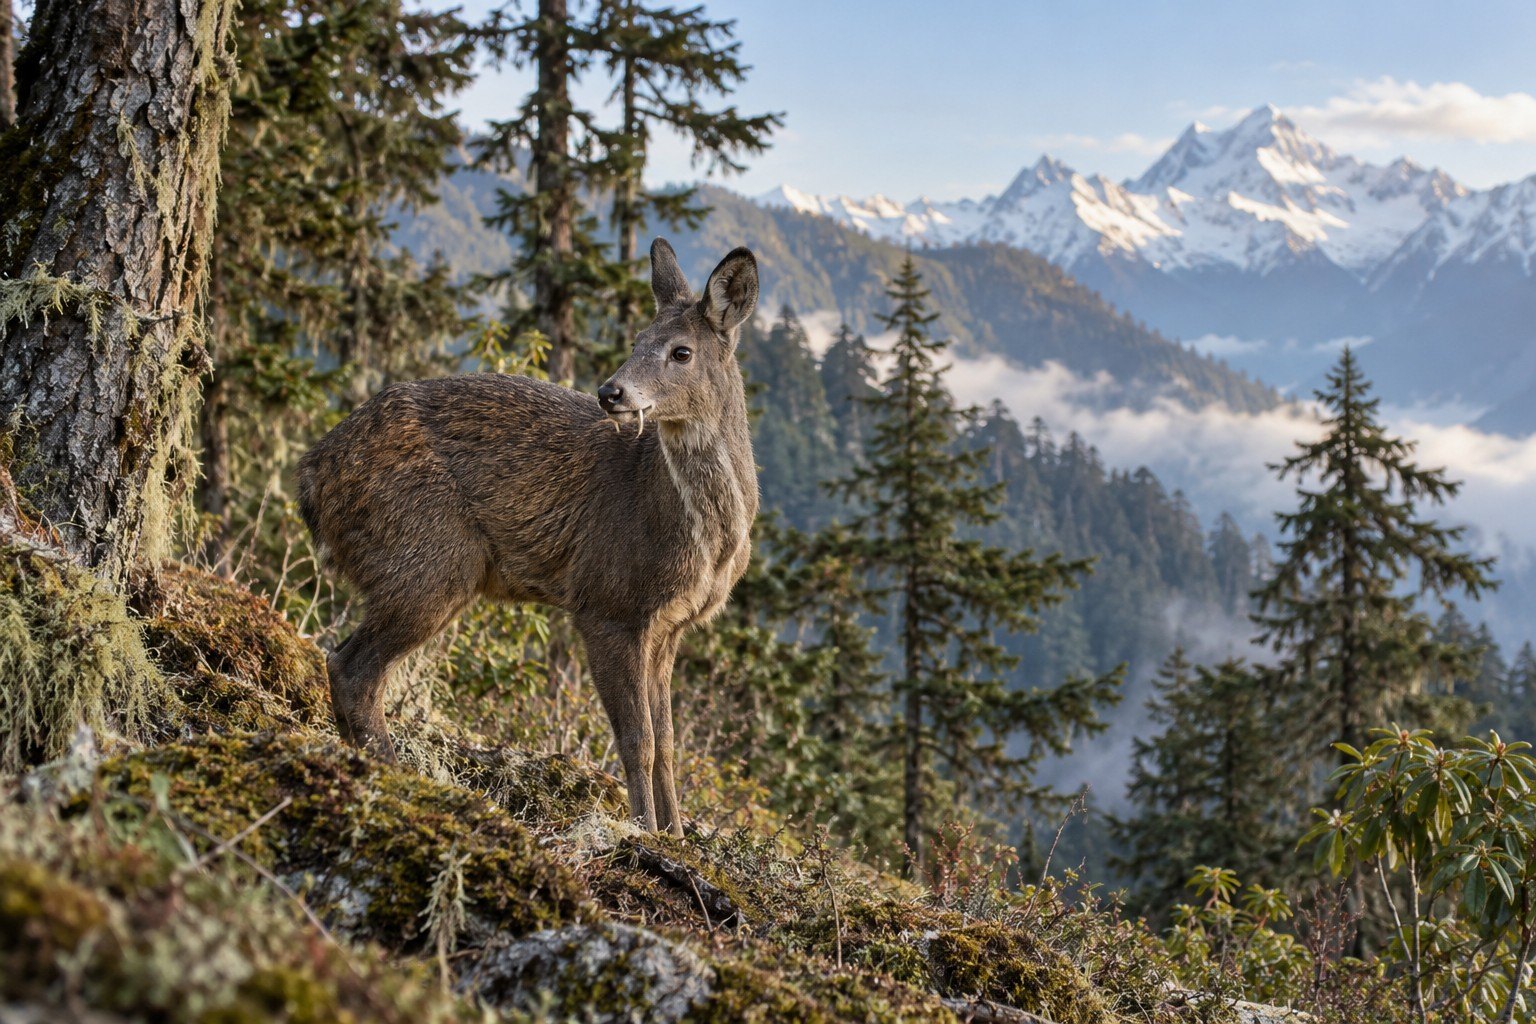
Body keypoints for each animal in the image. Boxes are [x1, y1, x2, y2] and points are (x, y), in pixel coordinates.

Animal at [296, 240, 759, 836]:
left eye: (681, 352)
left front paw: (676, 836)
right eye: (635, 340)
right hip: (426, 558)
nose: (611, 392)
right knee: (352, 667)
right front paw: (641, 833)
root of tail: (313, 475)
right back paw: (397, 774)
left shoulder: (669, 625)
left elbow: (669, 743)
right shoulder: (607, 603)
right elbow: (639, 740)